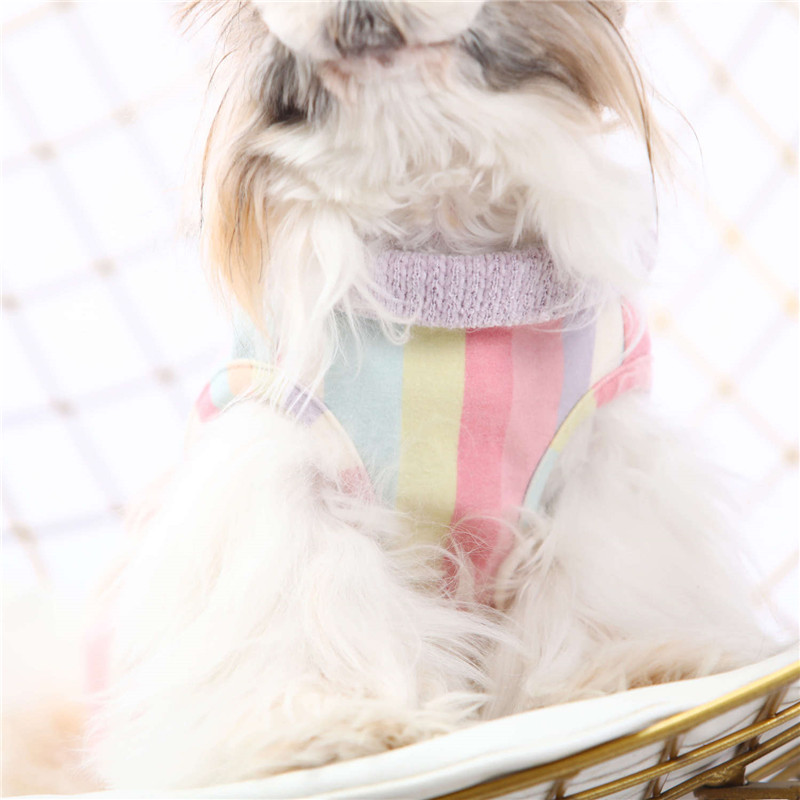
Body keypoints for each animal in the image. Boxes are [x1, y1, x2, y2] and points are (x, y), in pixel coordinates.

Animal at [4, 1, 775, 794]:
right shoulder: (285, 476)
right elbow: (304, 609)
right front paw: (333, 730)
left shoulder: (599, 466)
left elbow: (602, 586)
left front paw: (635, 669)